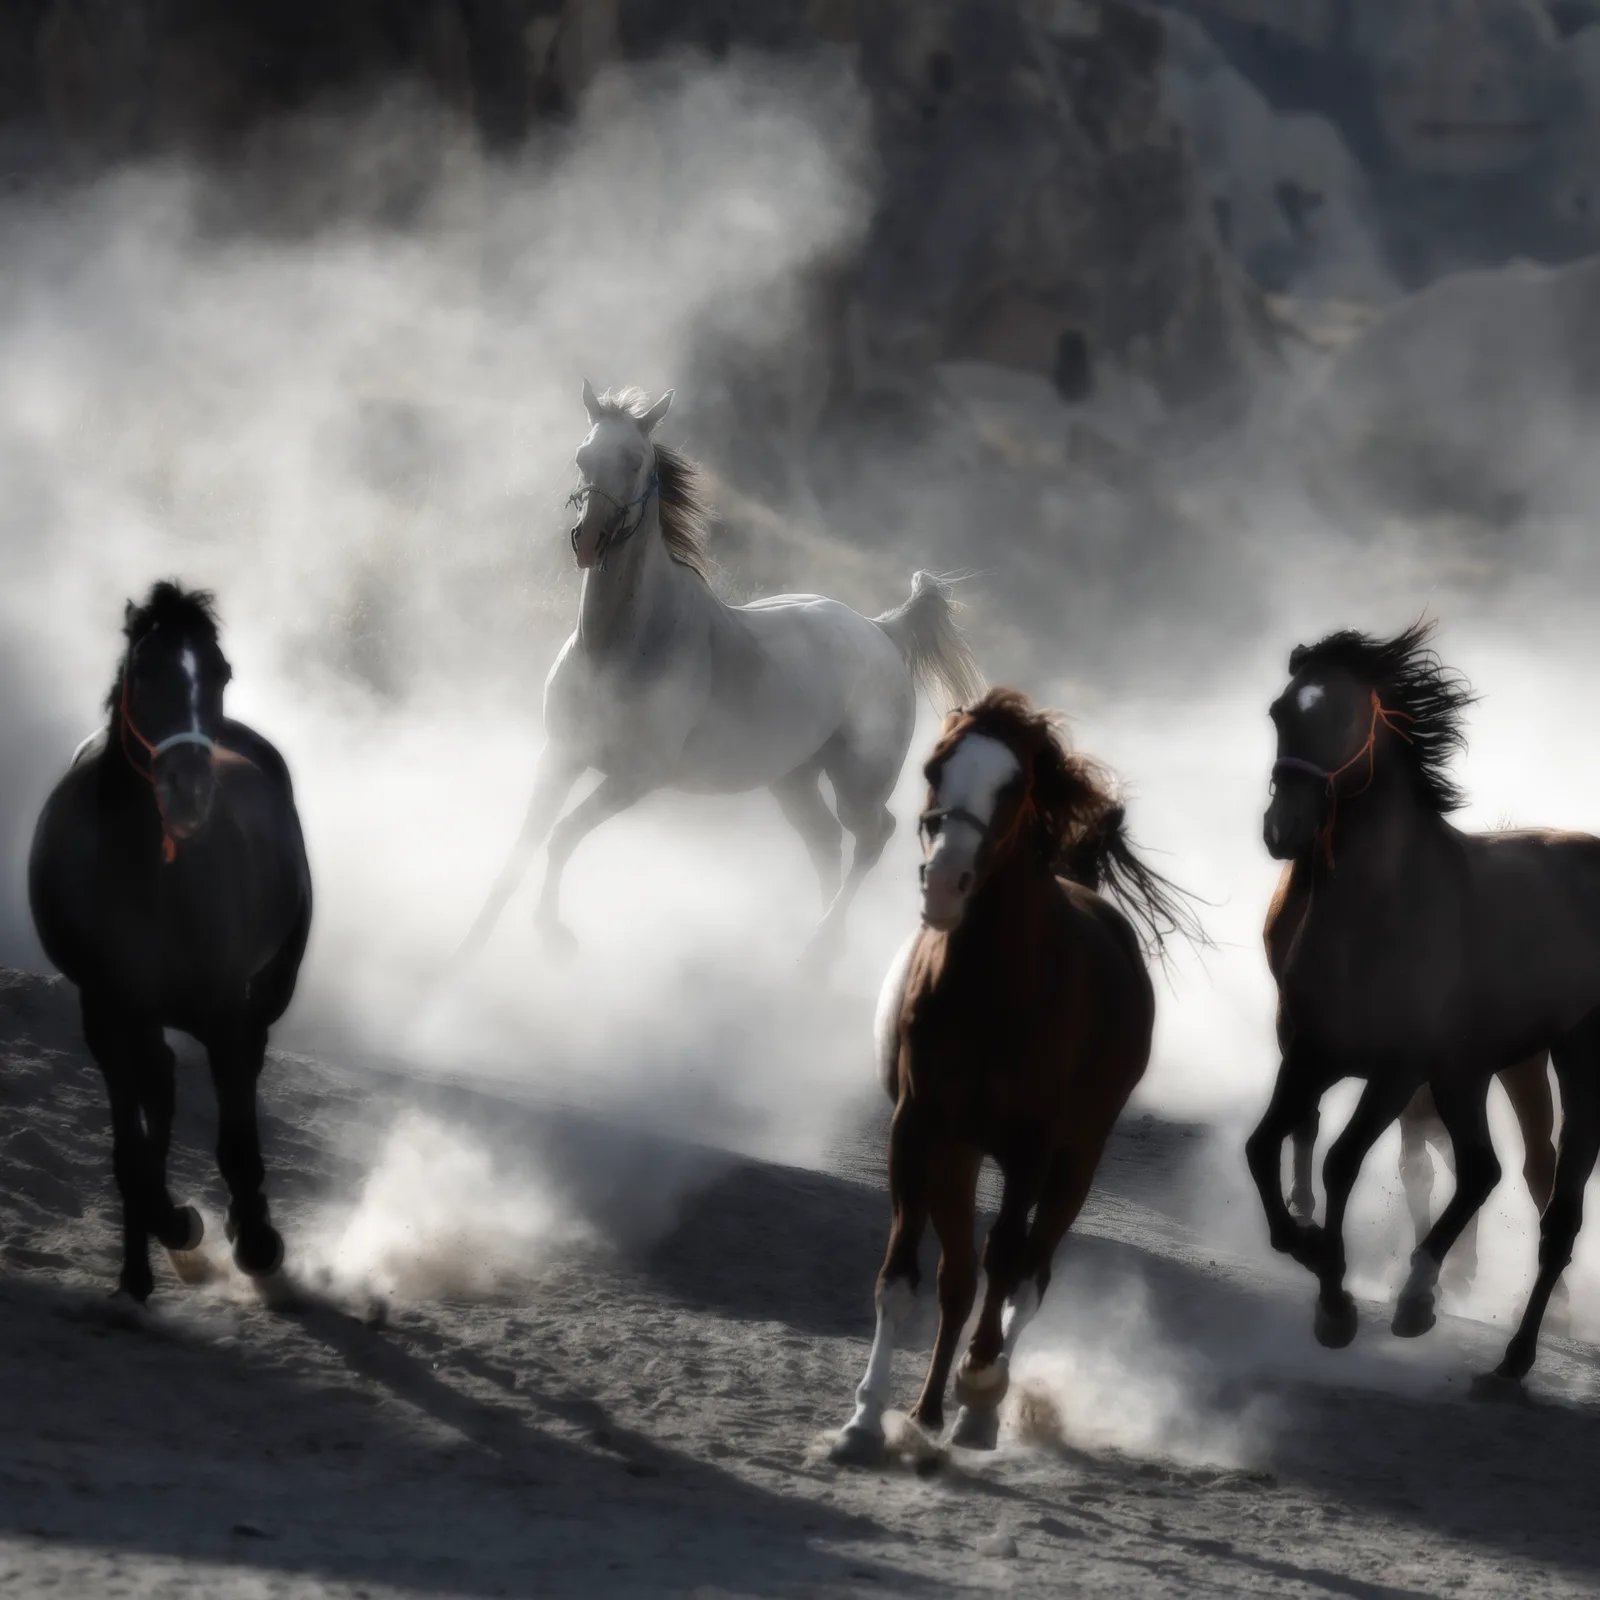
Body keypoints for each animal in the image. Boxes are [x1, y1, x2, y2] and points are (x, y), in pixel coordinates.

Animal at [28, 582, 313, 1310]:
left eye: (220, 673)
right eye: (147, 670)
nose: (189, 792)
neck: (144, 873)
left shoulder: (222, 1010)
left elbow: (235, 1136)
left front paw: (256, 1242)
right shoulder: (104, 1010)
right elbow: (132, 1155)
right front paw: (175, 1227)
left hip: (268, 988)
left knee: (240, 1071)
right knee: (158, 1085)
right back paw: (141, 1267)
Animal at [456, 382, 983, 962]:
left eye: (635, 460)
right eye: (582, 456)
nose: (589, 540)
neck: (618, 647)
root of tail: (882, 630)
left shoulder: (633, 779)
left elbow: (561, 837)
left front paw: (554, 934)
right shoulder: (561, 754)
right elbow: (522, 848)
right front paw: (468, 946)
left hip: (859, 782)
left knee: (872, 837)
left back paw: (818, 948)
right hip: (793, 778)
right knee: (825, 840)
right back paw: (822, 947)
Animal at [831, 688, 1202, 1463]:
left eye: (1015, 784)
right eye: (935, 767)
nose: (945, 883)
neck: (990, 992)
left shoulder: (1033, 1147)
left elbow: (1006, 1261)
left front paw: (979, 1395)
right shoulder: (919, 1131)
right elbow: (904, 1275)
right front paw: (866, 1420)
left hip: (1076, 1159)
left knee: (1029, 1275)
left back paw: (980, 1401)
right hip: (960, 1154)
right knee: (957, 1277)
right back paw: (927, 1412)